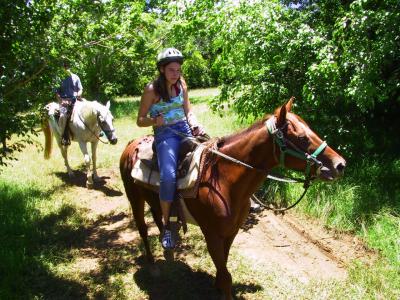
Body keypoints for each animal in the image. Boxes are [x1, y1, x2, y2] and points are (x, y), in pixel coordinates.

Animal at [118, 99, 344, 298]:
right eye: (303, 138)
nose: (340, 164)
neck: (225, 181)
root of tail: (131, 145)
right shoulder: (212, 234)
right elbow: (226, 276)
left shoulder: (230, 232)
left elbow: (224, 266)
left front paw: (217, 285)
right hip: (134, 199)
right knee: (143, 229)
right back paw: (152, 265)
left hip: (154, 200)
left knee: (159, 220)